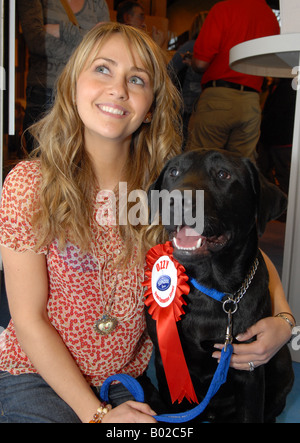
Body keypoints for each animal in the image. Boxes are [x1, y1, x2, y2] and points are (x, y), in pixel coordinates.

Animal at [146, 148, 294, 424]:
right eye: (174, 172)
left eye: (223, 174)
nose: (178, 201)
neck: (209, 288)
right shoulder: (167, 362)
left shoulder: (249, 370)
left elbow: (251, 412)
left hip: (282, 362)